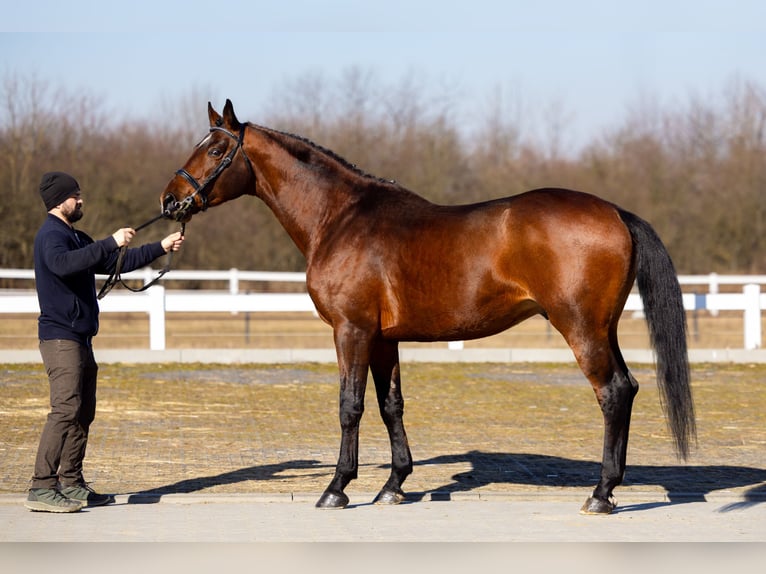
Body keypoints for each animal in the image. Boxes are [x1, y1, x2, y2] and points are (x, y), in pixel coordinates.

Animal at [160, 99, 695, 514]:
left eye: (215, 150)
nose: (170, 200)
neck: (340, 219)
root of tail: (616, 212)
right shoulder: (383, 340)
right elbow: (389, 406)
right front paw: (393, 485)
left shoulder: (351, 331)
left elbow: (350, 406)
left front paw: (337, 488)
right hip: (603, 328)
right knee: (627, 388)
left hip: (581, 328)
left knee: (612, 392)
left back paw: (601, 494)